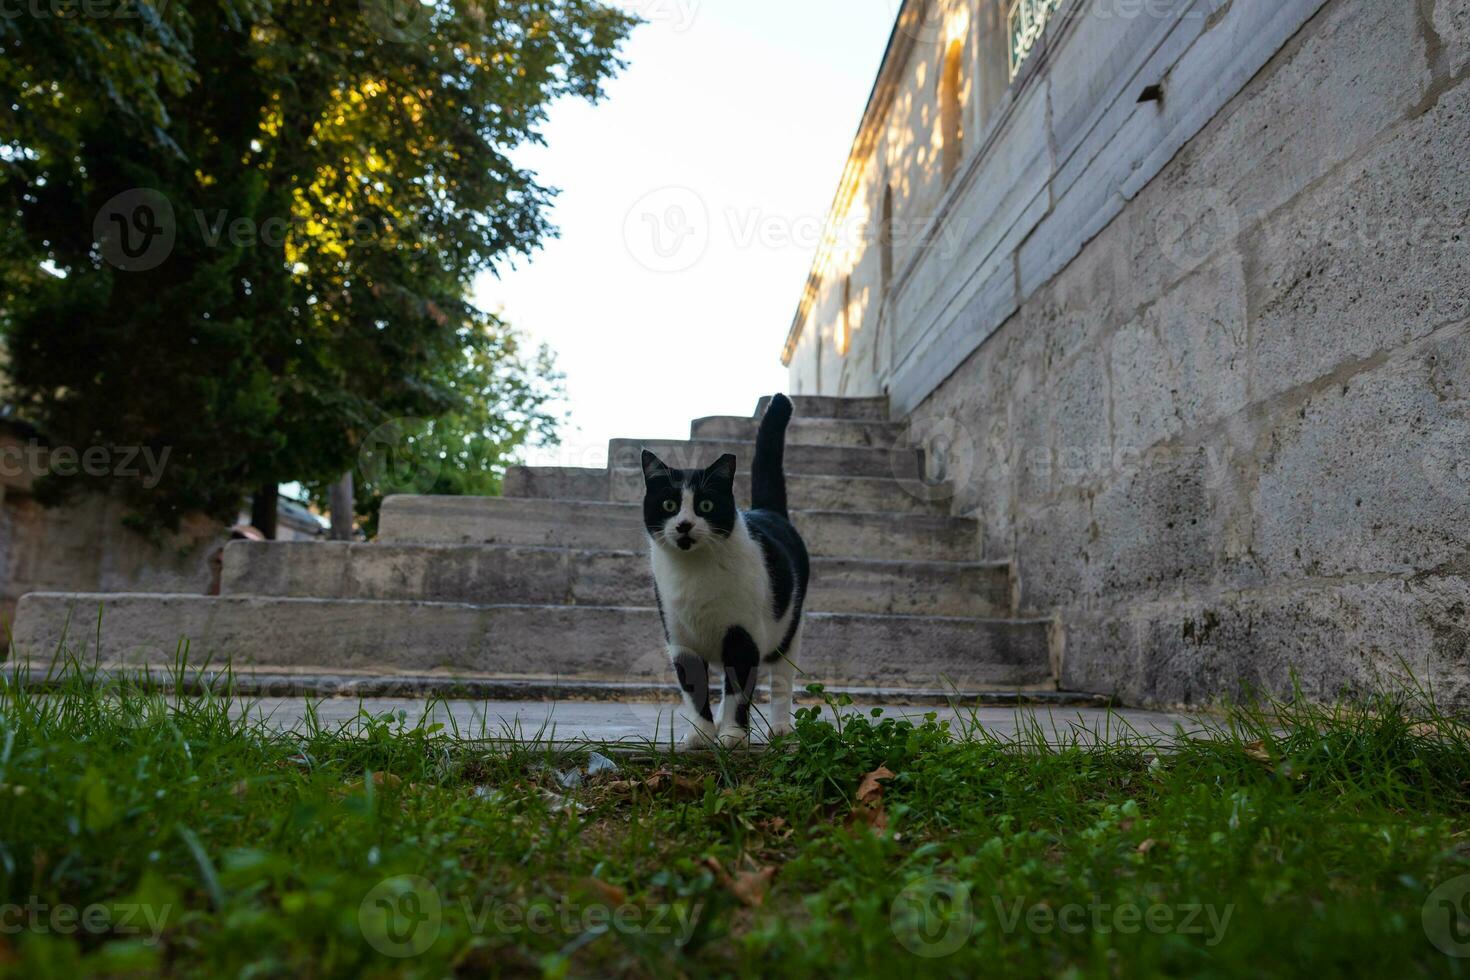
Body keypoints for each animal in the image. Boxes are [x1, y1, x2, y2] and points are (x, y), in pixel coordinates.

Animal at [637, 393, 811, 746]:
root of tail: (767, 510)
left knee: (781, 681)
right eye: (669, 505)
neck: (693, 572)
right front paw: (702, 734)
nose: (685, 525)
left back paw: (781, 727)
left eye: (705, 505)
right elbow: (694, 689)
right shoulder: (680, 640)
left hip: (790, 628)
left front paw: (733, 735)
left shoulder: (744, 636)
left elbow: (739, 690)